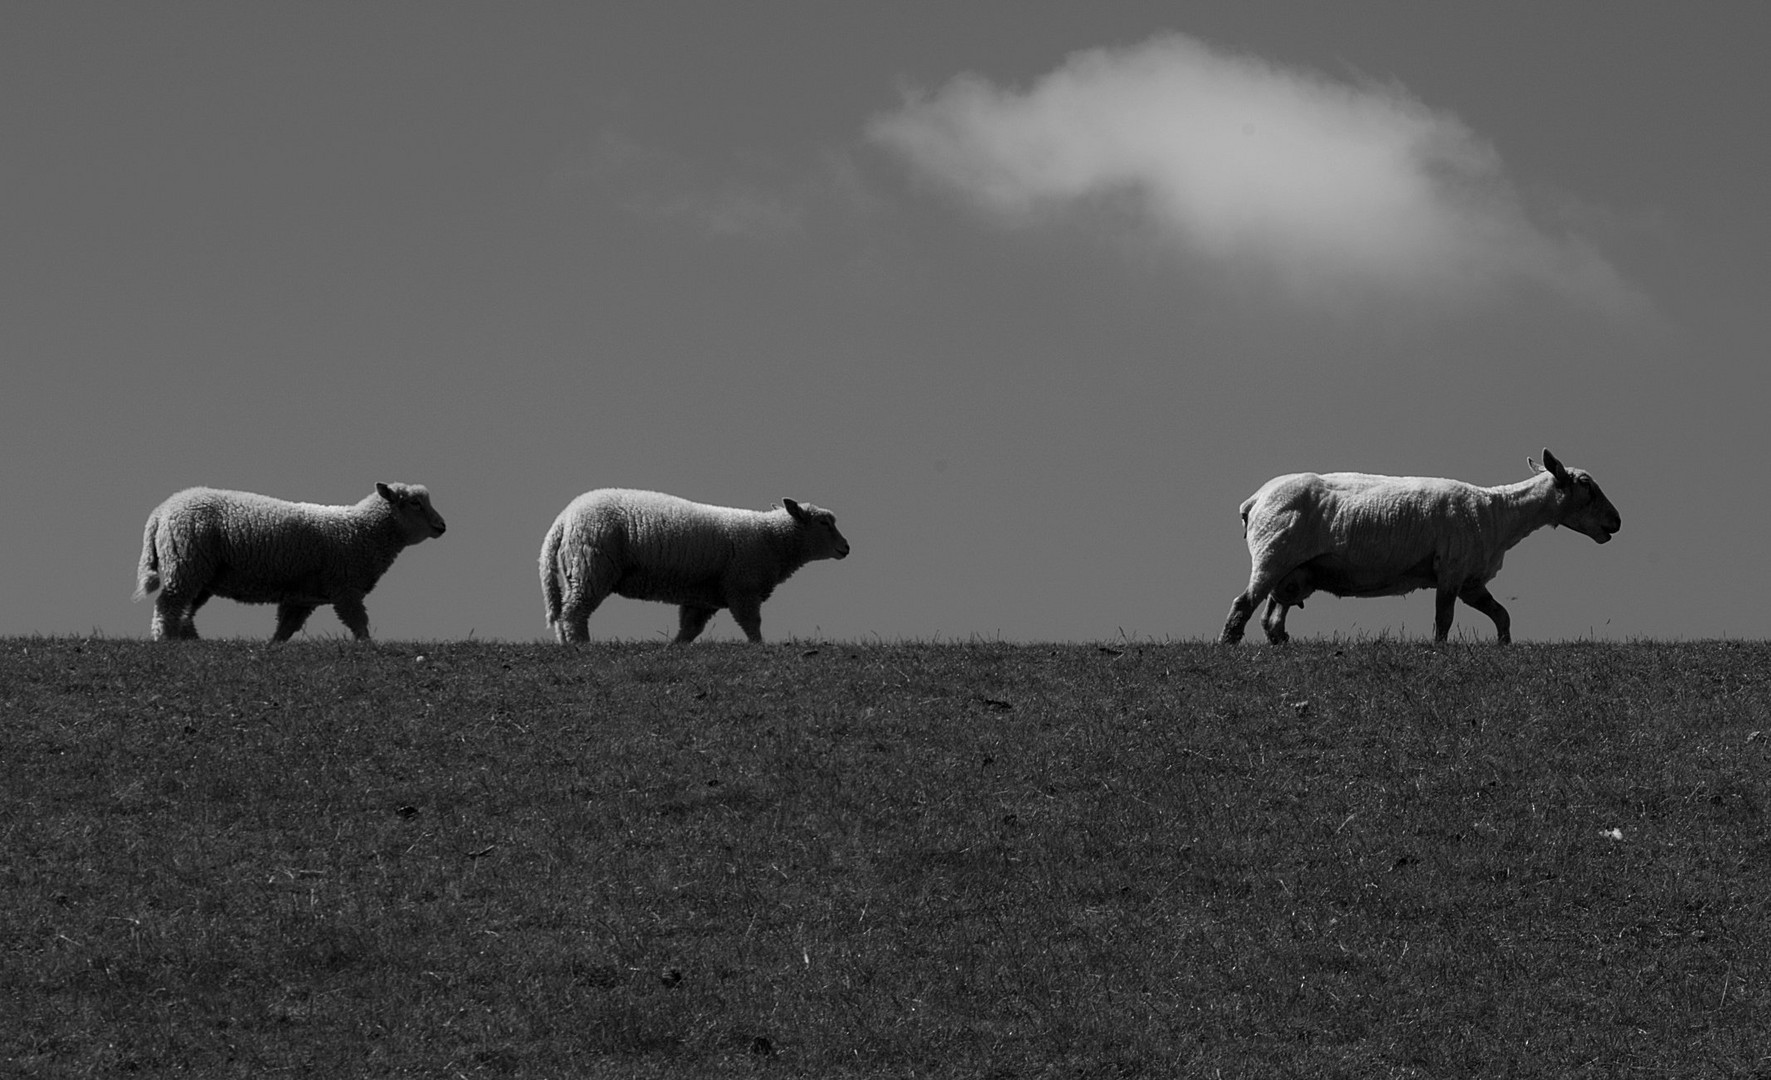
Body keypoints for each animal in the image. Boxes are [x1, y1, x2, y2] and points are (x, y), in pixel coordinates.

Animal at [133, 478, 446, 637]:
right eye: (415, 504)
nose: (442, 526)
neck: (363, 530)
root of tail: (160, 512)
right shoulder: (345, 588)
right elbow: (359, 625)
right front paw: (368, 649)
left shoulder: (302, 597)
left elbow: (284, 631)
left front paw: (271, 649)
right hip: (185, 564)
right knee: (168, 606)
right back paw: (165, 641)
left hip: (201, 573)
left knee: (185, 612)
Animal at [538, 488, 850, 648]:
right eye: (824, 523)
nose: (846, 548)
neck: (772, 538)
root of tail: (563, 519)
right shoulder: (742, 587)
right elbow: (752, 624)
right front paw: (759, 647)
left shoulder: (703, 598)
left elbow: (690, 629)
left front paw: (672, 649)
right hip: (592, 566)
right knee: (575, 612)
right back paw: (582, 646)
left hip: (576, 568)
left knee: (565, 610)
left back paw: (565, 644)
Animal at [1218, 449, 1622, 644]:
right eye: (1586, 485)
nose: (1616, 522)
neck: (1497, 512)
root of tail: (1254, 501)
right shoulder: (1451, 570)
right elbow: (1444, 620)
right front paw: (1439, 651)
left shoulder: (1471, 580)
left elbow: (1502, 615)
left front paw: (1504, 645)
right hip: (1273, 552)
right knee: (1243, 604)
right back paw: (1227, 645)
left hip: (1293, 571)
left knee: (1271, 617)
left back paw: (1279, 643)